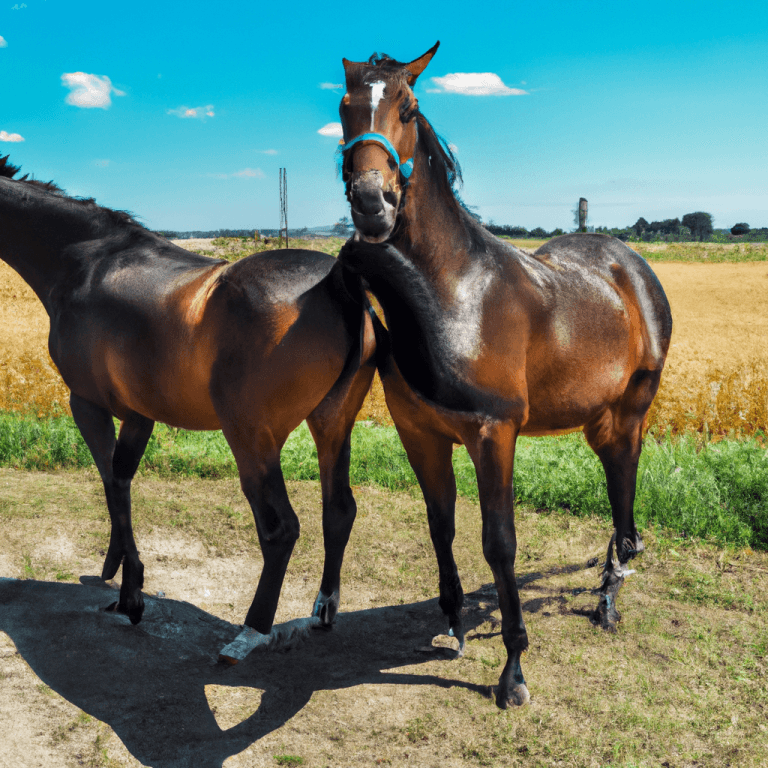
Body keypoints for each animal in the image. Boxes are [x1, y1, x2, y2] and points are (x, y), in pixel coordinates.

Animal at [0, 155, 376, 660]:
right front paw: (122, 575)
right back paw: (324, 608)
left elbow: (110, 482)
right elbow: (120, 481)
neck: (87, 261)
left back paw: (251, 630)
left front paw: (131, 591)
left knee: (281, 529)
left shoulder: (87, 404)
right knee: (338, 510)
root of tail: (336, 282)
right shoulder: (139, 414)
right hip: (332, 426)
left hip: (252, 441)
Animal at [335, 44, 673, 708]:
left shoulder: (495, 435)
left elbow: (500, 543)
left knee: (623, 496)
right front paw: (452, 625)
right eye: (343, 107)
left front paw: (514, 666)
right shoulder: (421, 435)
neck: (454, 292)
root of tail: (631, 266)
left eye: (407, 107)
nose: (370, 202)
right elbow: (441, 526)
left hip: (627, 417)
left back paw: (609, 597)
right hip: (597, 420)